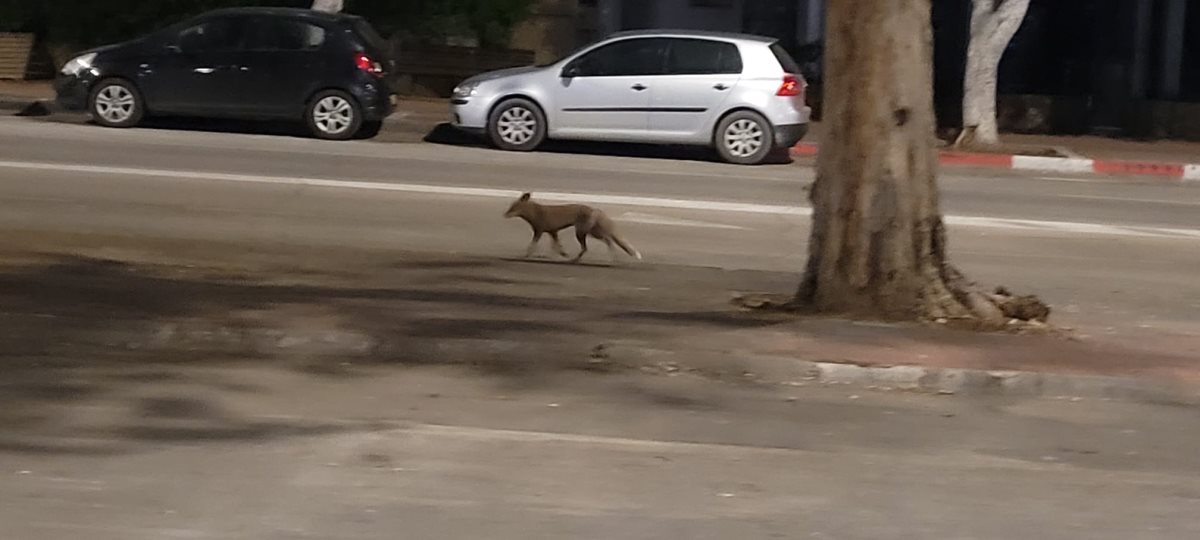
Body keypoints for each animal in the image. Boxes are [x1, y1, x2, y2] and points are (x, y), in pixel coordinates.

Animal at [501, 192, 643, 264]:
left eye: (513, 208)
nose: (504, 215)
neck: (535, 213)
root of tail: (595, 209)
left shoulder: (539, 231)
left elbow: (532, 246)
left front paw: (525, 256)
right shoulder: (553, 231)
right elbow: (556, 246)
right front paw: (561, 254)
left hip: (583, 233)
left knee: (604, 241)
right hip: (589, 232)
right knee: (600, 243)